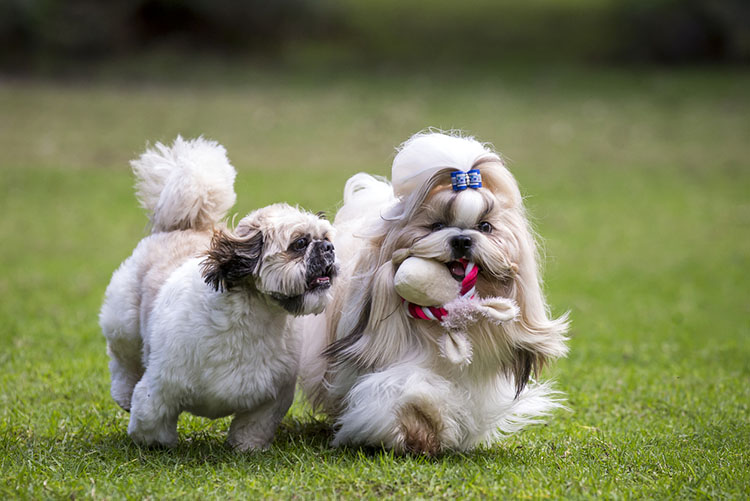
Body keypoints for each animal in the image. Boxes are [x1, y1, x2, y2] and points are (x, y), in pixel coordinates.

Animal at [100, 137, 338, 450]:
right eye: (299, 244)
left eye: (326, 239)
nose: (329, 248)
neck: (253, 319)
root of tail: (181, 226)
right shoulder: (160, 389)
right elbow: (151, 421)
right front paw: (156, 446)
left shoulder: (270, 397)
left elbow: (252, 427)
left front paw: (247, 448)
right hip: (123, 324)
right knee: (123, 362)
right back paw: (124, 394)